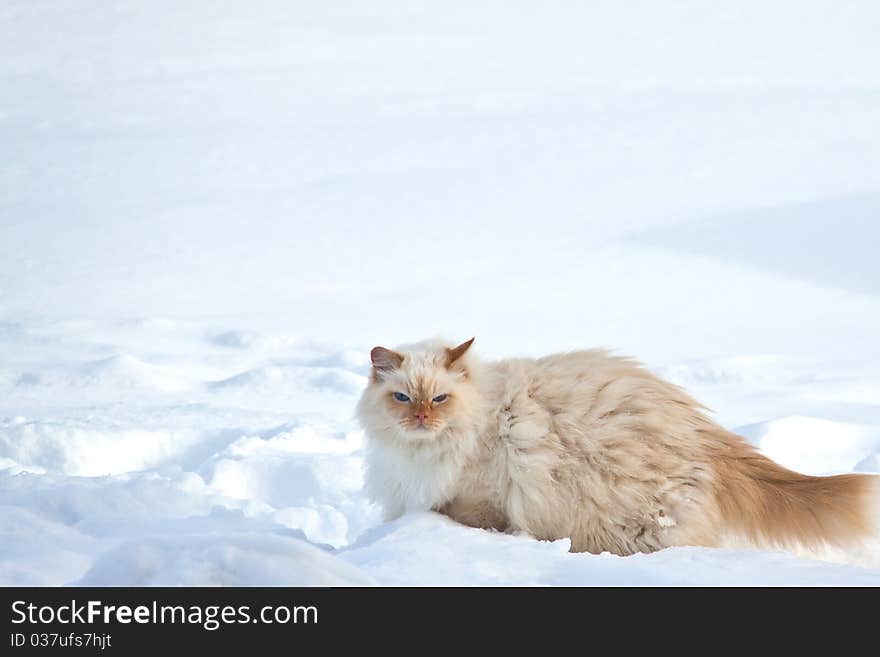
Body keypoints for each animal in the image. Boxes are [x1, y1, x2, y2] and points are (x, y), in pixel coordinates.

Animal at [358, 338, 880, 560]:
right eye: (402, 398)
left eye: (439, 398)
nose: (420, 418)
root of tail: (703, 431)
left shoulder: (480, 496)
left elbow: (469, 519)